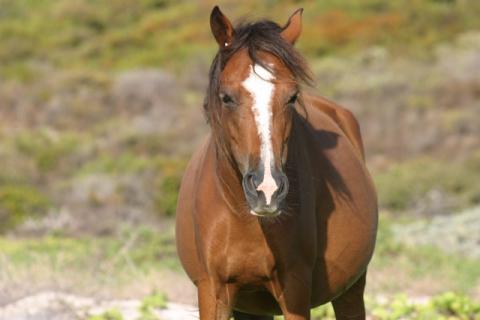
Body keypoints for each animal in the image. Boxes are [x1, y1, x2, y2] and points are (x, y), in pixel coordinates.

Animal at [176, 6, 378, 318]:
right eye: (226, 97)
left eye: (292, 97)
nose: (267, 190)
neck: (243, 218)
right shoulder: (212, 291)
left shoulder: (294, 290)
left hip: (351, 290)